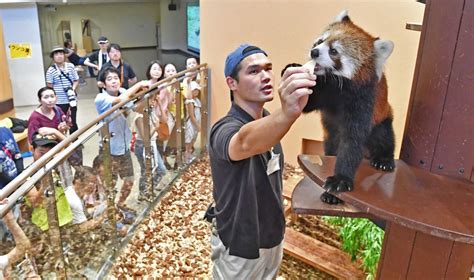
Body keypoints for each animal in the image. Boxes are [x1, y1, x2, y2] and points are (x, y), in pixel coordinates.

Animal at [286, 10, 396, 205]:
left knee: (384, 136)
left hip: (382, 118)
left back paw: (384, 159)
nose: (314, 52)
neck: (338, 86)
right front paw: (293, 71)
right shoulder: (325, 90)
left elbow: (352, 140)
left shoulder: (363, 100)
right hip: (329, 139)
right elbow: (309, 102)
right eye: (319, 42)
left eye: (334, 51)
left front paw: (340, 179)